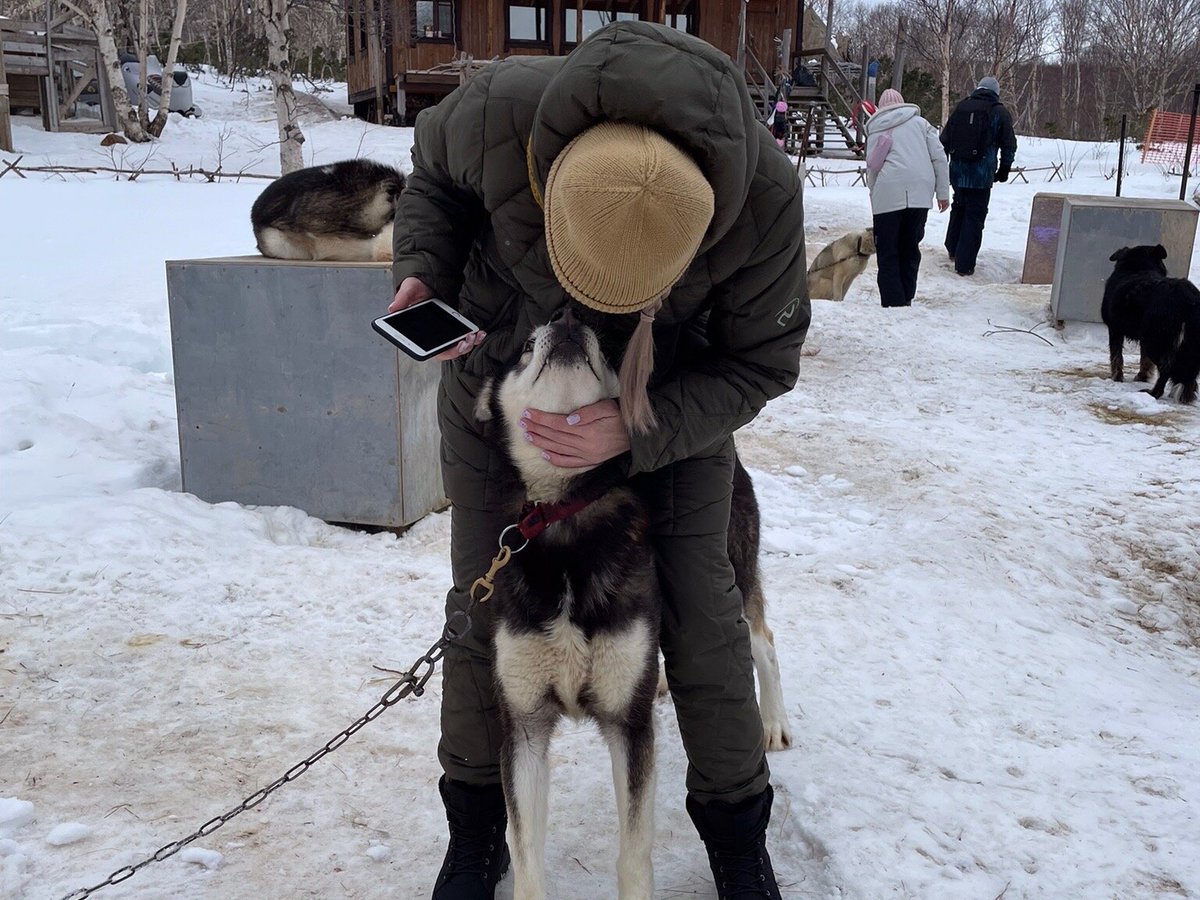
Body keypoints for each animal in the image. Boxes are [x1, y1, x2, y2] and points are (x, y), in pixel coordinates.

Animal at [472, 312, 792, 900]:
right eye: (525, 346)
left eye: (604, 348)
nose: (566, 320)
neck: (564, 520)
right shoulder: (524, 727)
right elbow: (526, 857)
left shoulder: (630, 726)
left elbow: (635, 854)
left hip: (732, 578)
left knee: (762, 641)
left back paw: (774, 721)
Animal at [1099, 243, 1200, 405]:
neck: (1138, 268)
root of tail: (1187, 298)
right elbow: (1144, 359)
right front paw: (1142, 376)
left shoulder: (1115, 330)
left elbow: (1116, 356)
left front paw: (1116, 377)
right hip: (1189, 344)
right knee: (1189, 373)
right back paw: (1185, 394)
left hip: (1156, 342)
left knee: (1166, 369)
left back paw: (1154, 393)